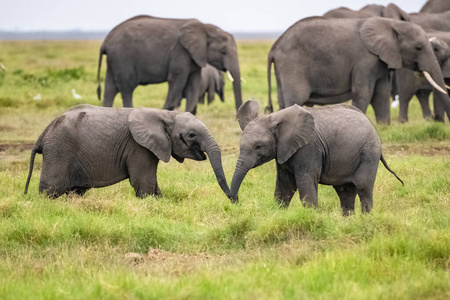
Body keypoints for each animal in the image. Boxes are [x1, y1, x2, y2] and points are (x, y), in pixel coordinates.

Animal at [96, 14, 241, 115]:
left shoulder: (195, 57)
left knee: (110, 89)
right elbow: (176, 81)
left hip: (114, 61)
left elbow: (193, 87)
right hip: (123, 58)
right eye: (223, 51)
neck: (205, 28)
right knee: (127, 89)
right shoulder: (180, 52)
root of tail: (106, 41)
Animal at [230, 101, 402, 216]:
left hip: (368, 153)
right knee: (345, 191)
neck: (275, 118)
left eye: (258, 147)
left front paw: (310, 216)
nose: (237, 202)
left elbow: (305, 182)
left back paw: (365, 218)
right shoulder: (284, 151)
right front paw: (279, 213)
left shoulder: (309, 149)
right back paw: (348, 220)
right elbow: (285, 185)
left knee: (363, 187)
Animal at [266, 16, 448, 124]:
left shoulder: (379, 61)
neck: (390, 23)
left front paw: (384, 126)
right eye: (418, 48)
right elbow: (364, 93)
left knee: (283, 100)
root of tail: (274, 47)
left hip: (282, 69)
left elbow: (381, 94)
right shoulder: (365, 60)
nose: (439, 120)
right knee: (296, 98)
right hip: (292, 64)